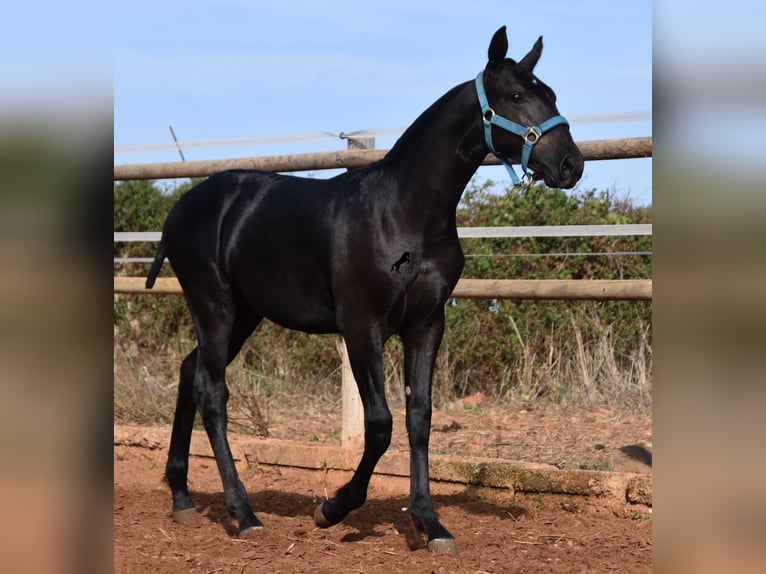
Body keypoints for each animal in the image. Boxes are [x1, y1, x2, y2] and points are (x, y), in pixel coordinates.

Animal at [147, 28, 584, 560]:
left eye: (552, 95)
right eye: (517, 96)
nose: (571, 164)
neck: (403, 214)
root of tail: (180, 210)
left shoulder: (426, 324)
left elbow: (419, 418)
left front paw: (430, 524)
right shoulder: (362, 326)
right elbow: (379, 425)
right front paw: (332, 509)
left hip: (244, 315)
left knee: (190, 373)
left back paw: (182, 497)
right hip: (215, 307)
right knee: (211, 391)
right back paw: (244, 513)